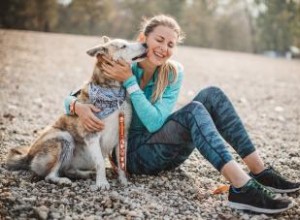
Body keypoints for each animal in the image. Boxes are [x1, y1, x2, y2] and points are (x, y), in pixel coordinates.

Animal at [6, 35, 148, 189]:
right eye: (123, 46)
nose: (145, 44)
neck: (113, 92)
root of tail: (27, 156)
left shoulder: (123, 134)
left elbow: (122, 163)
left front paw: (123, 181)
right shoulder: (91, 135)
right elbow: (100, 163)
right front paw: (102, 183)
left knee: (68, 169)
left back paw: (85, 174)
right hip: (64, 138)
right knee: (50, 175)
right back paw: (63, 180)